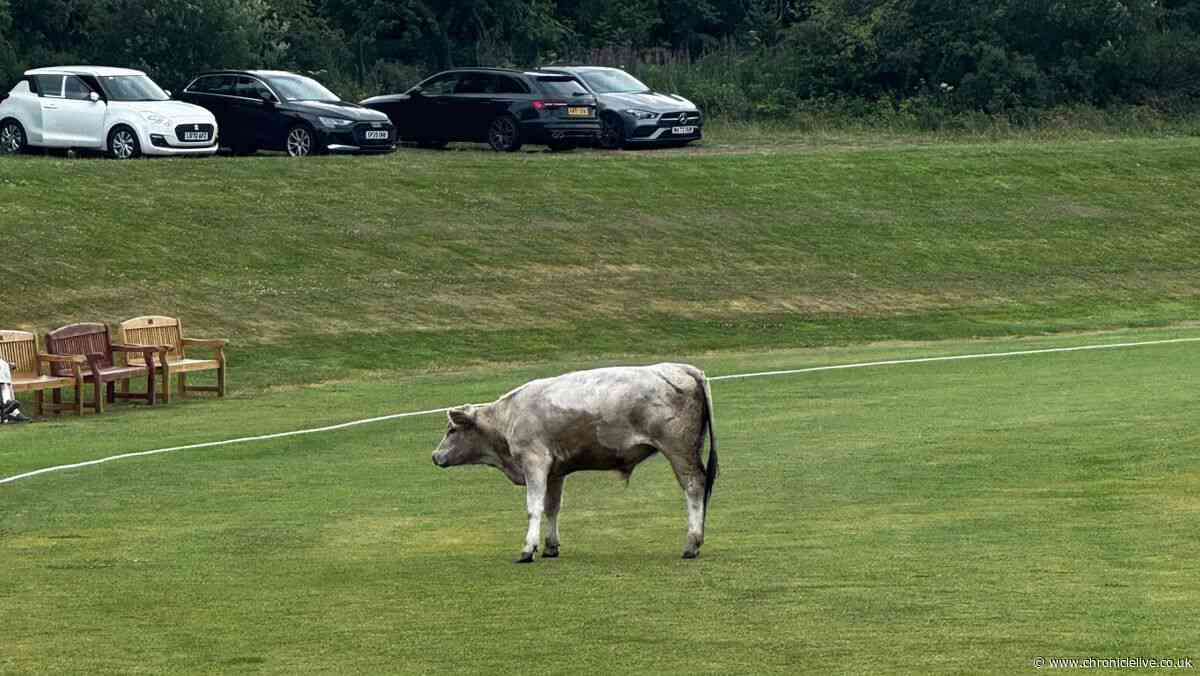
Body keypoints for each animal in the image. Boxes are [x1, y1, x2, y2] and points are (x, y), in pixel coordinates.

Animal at [432, 363, 718, 562]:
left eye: (451, 430)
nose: (435, 456)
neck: (508, 417)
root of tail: (684, 368)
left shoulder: (534, 462)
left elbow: (533, 507)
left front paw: (528, 548)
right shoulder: (555, 472)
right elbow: (552, 508)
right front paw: (550, 546)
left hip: (679, 451)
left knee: (694, 487)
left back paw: (692, 542)